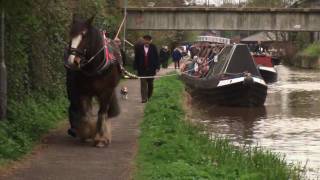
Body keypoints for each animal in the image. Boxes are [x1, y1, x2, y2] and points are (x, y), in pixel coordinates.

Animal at [64, 16, 121, 147]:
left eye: (84, 35)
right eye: (71, 34)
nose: (71, 62)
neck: (93, 68)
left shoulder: (106, 92)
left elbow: (101, 113)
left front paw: (100, 139)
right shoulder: (84, 92)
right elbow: (86, 114)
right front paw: (88, 133)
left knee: (105, 112)